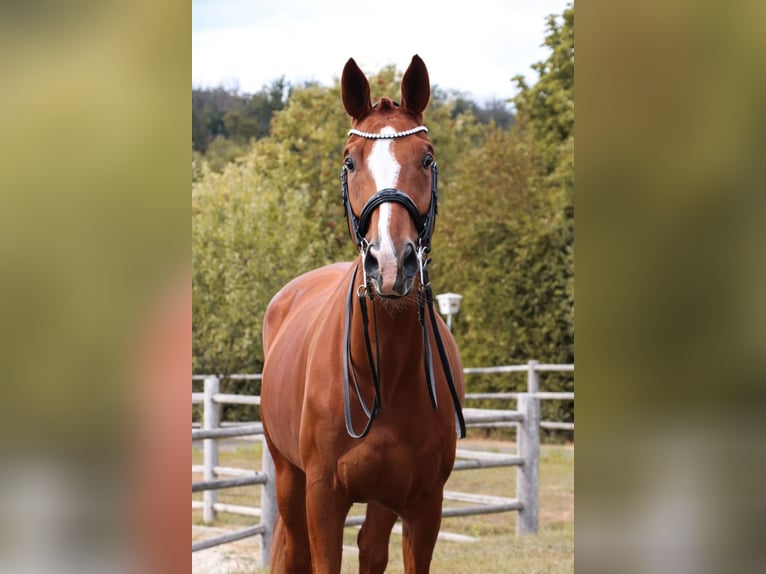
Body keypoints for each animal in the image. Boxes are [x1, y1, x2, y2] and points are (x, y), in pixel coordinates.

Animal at [262, 55, 468, 574]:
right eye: (350, 161)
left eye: (428, 158)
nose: (391, 264)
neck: (387, 372)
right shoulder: (323, 498)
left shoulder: (424, 506)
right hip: (288, 478)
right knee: (293, 550)